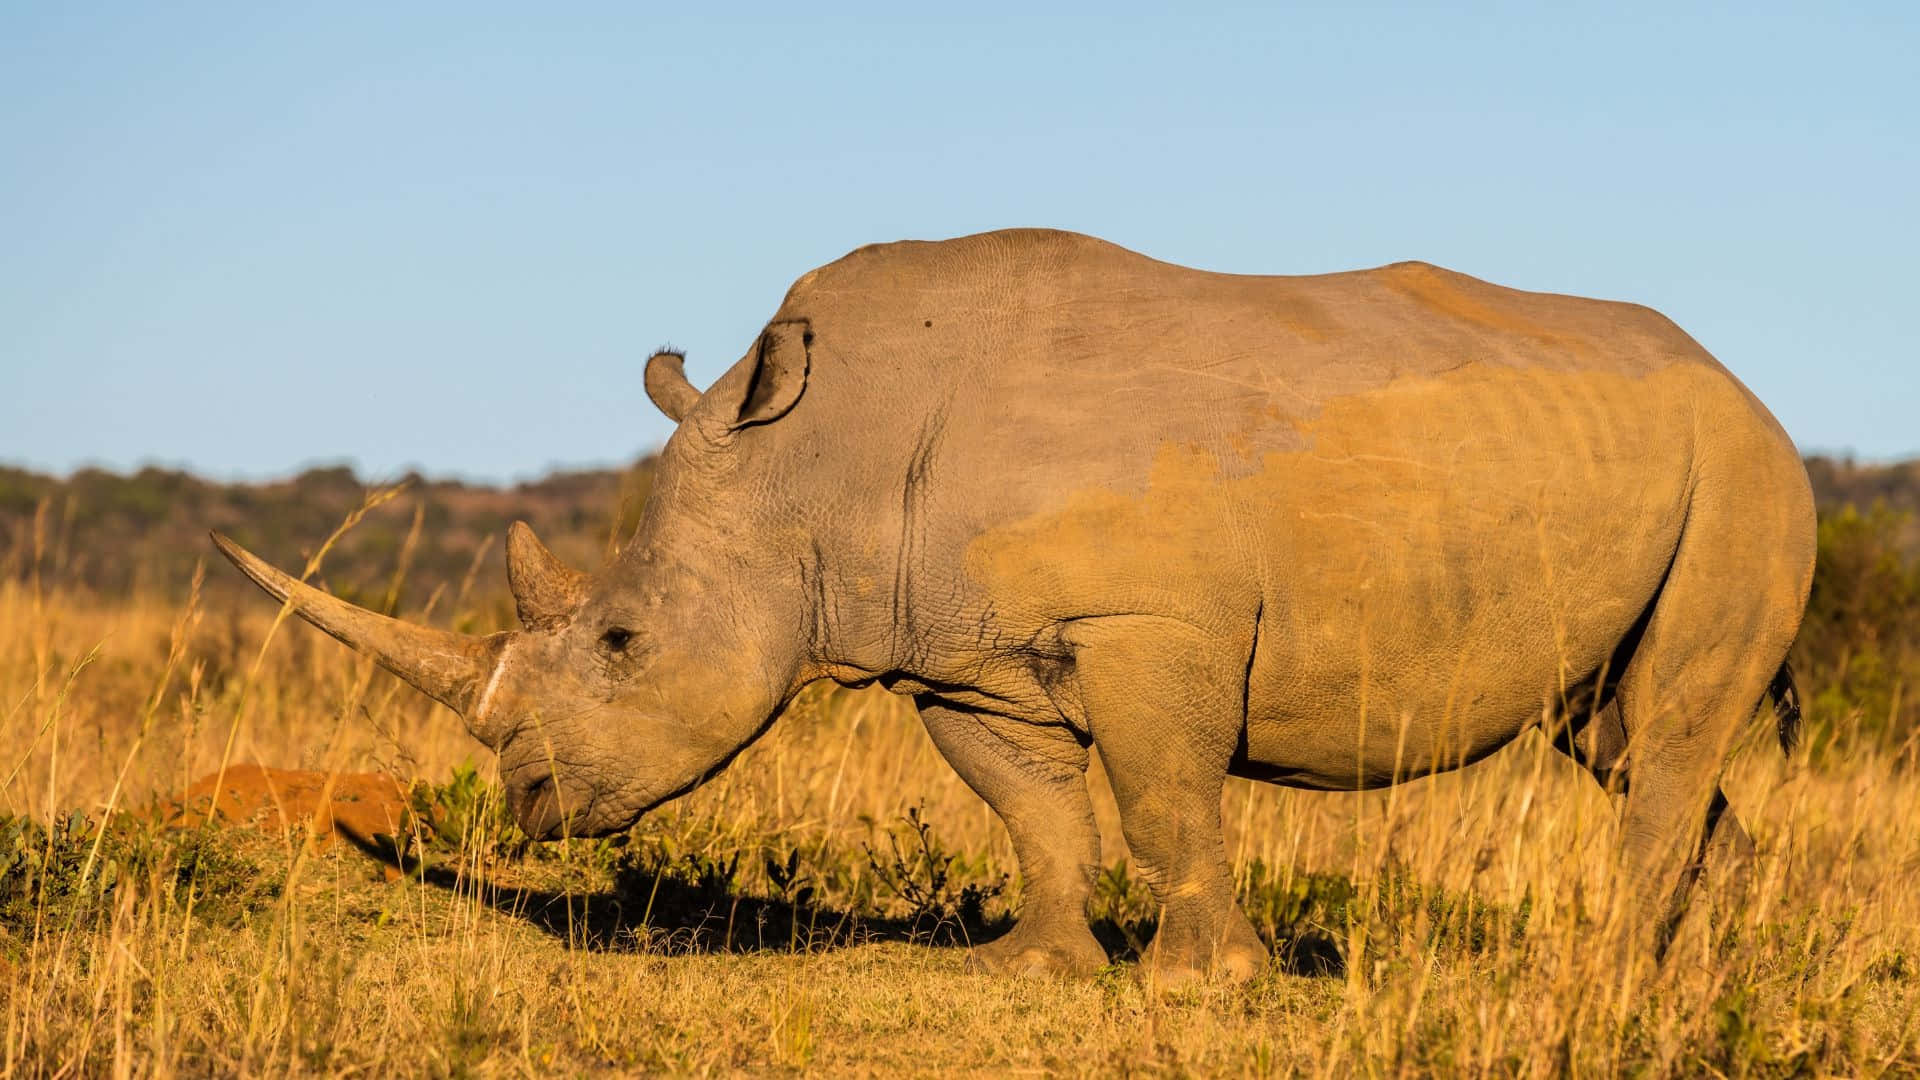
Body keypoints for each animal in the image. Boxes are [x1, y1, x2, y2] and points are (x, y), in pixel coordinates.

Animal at [213, 228, 1814, 982]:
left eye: (619, 641)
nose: (529, 799)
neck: (814, 458)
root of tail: (1741, 381)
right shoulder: (958, 657)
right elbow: (1039, 810)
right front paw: (1038, 964)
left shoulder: (1145, 626)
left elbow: (1166, 800)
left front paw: (1201, 987)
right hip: (1645, 465)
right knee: (1622, 738)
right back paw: (1693, 974)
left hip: (1745, 473)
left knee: (1665, 733)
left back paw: (1609, 970)